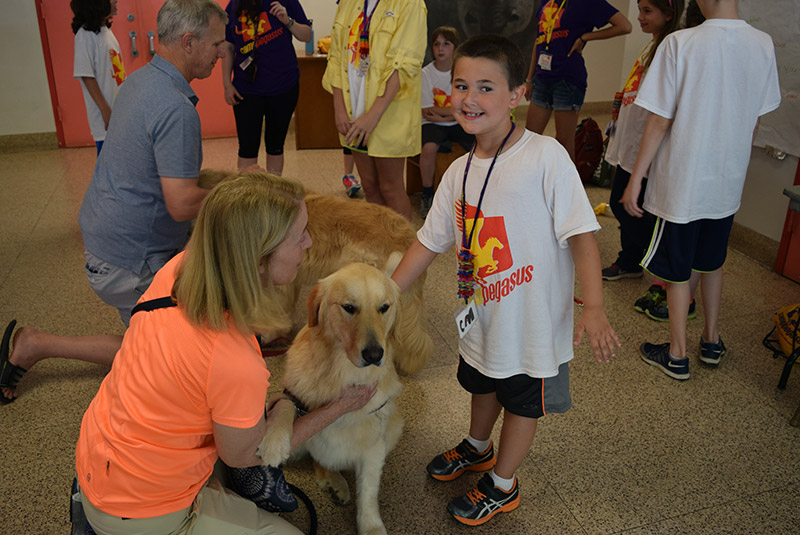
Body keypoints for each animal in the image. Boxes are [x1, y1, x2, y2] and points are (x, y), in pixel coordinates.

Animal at [260, 262, 404, 535]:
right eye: (349, 307)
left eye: (384, 307)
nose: (374, 354)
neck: (342, 374)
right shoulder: (295, 398)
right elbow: (285, 405)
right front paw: (272, 441)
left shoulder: (374, 447)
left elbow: (368, 491)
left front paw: (371, 526)